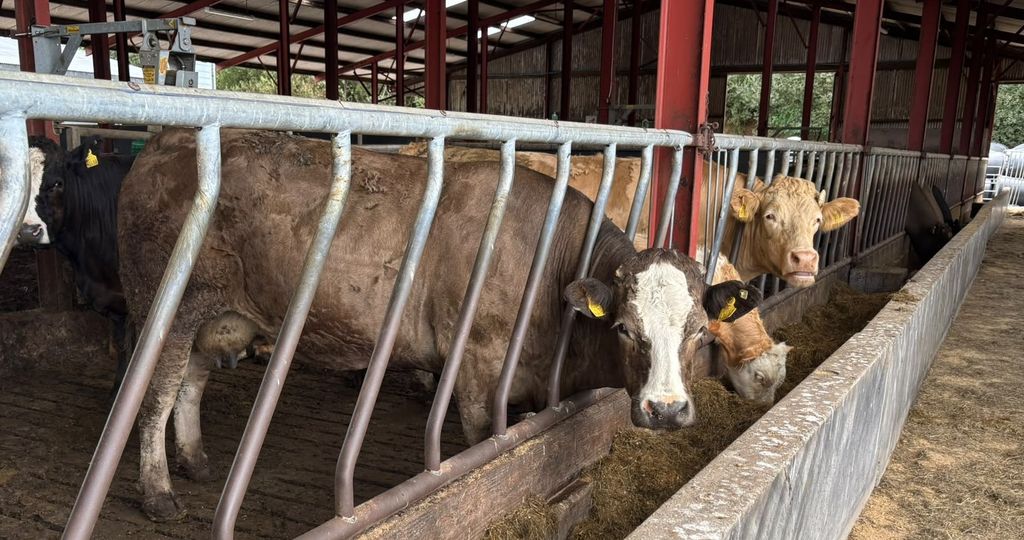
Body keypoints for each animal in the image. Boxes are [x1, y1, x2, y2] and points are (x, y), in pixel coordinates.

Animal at [117, 129, 763, 521]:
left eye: (700, 332)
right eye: (626, 329)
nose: (666, 410)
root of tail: (166, 140)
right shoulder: (477, 369)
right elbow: (482, 447)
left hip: (217, 316)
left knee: (190, 382)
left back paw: (196, 460)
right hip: (164, 308)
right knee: (154, 396)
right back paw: (158, 492)